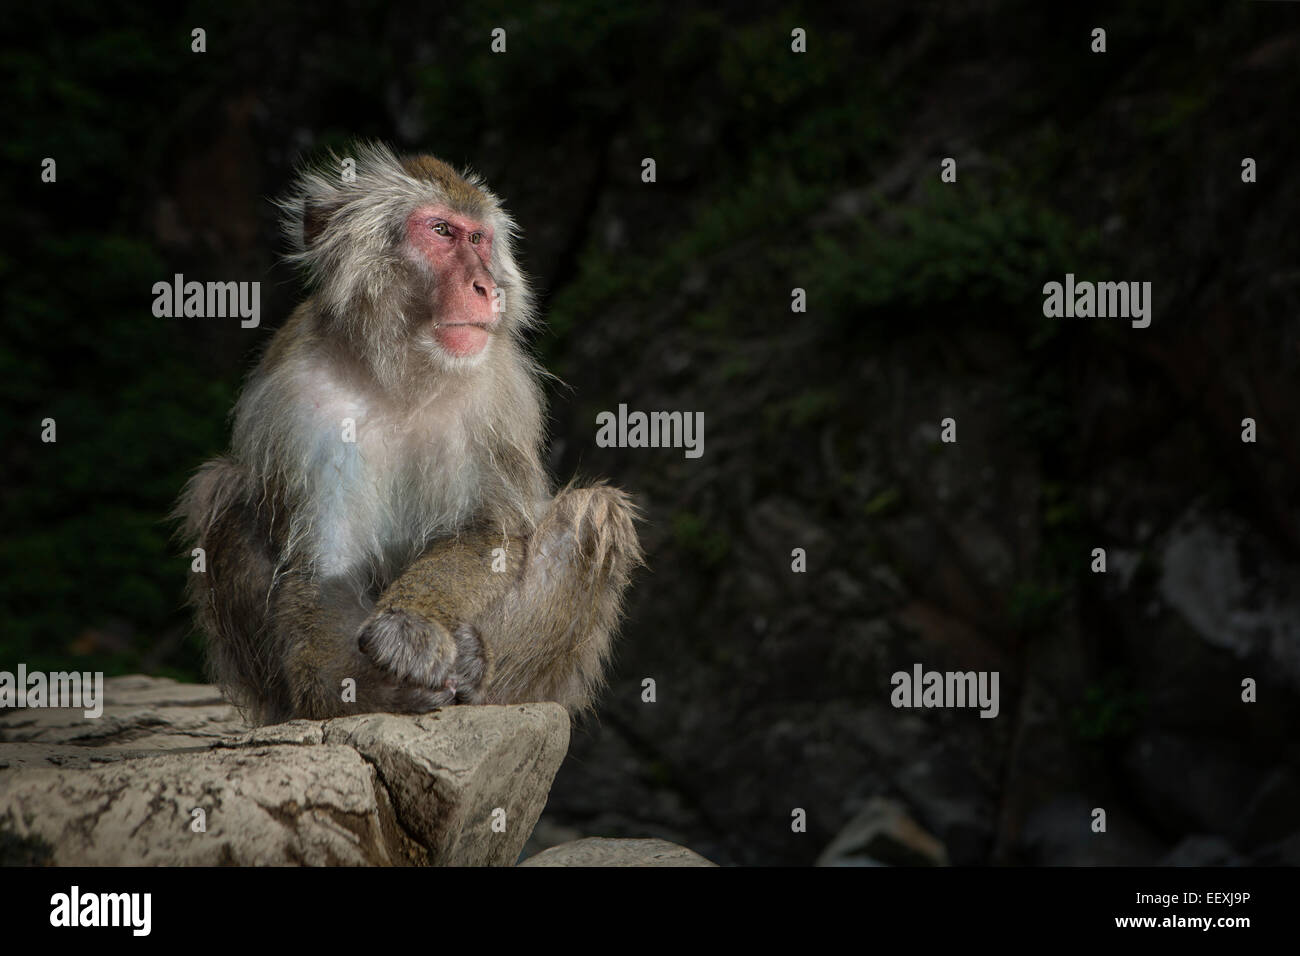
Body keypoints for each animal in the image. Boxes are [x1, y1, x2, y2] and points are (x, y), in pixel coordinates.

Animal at [177, 143, 641, 725]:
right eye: (440, 231)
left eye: (477, 239)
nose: (487, 287)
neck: (400, 374)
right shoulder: (297, 399)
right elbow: (323, 566)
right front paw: (357, 690)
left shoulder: (499, 395)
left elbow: (491, 534)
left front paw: (411, 625)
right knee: (224, 489)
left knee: (593, 514)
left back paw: (478, 670)